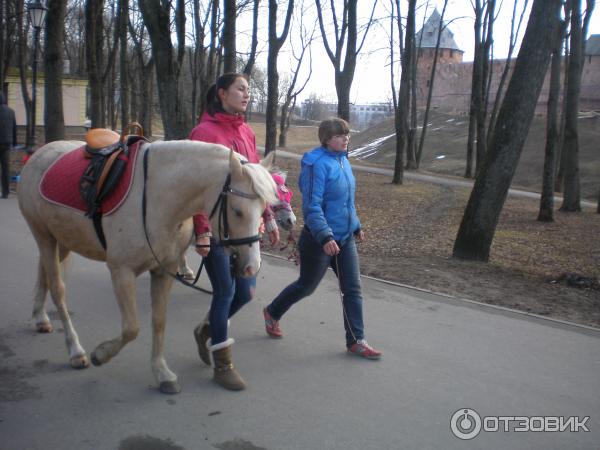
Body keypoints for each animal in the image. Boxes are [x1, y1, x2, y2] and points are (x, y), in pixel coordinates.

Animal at [15, 141, 274, 394]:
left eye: (263, 210)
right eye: (237, 211)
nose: (252, 267)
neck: (157, 198)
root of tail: (40, 153)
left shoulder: (164, 271)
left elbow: (159, 321)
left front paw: (161, 373)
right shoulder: (121, 271)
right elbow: (132, 328)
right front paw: (101, 354)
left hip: (62, 239)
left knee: (43, 273)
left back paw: (40, 318)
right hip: (44, 235)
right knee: (58, 290)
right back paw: (75, 350)